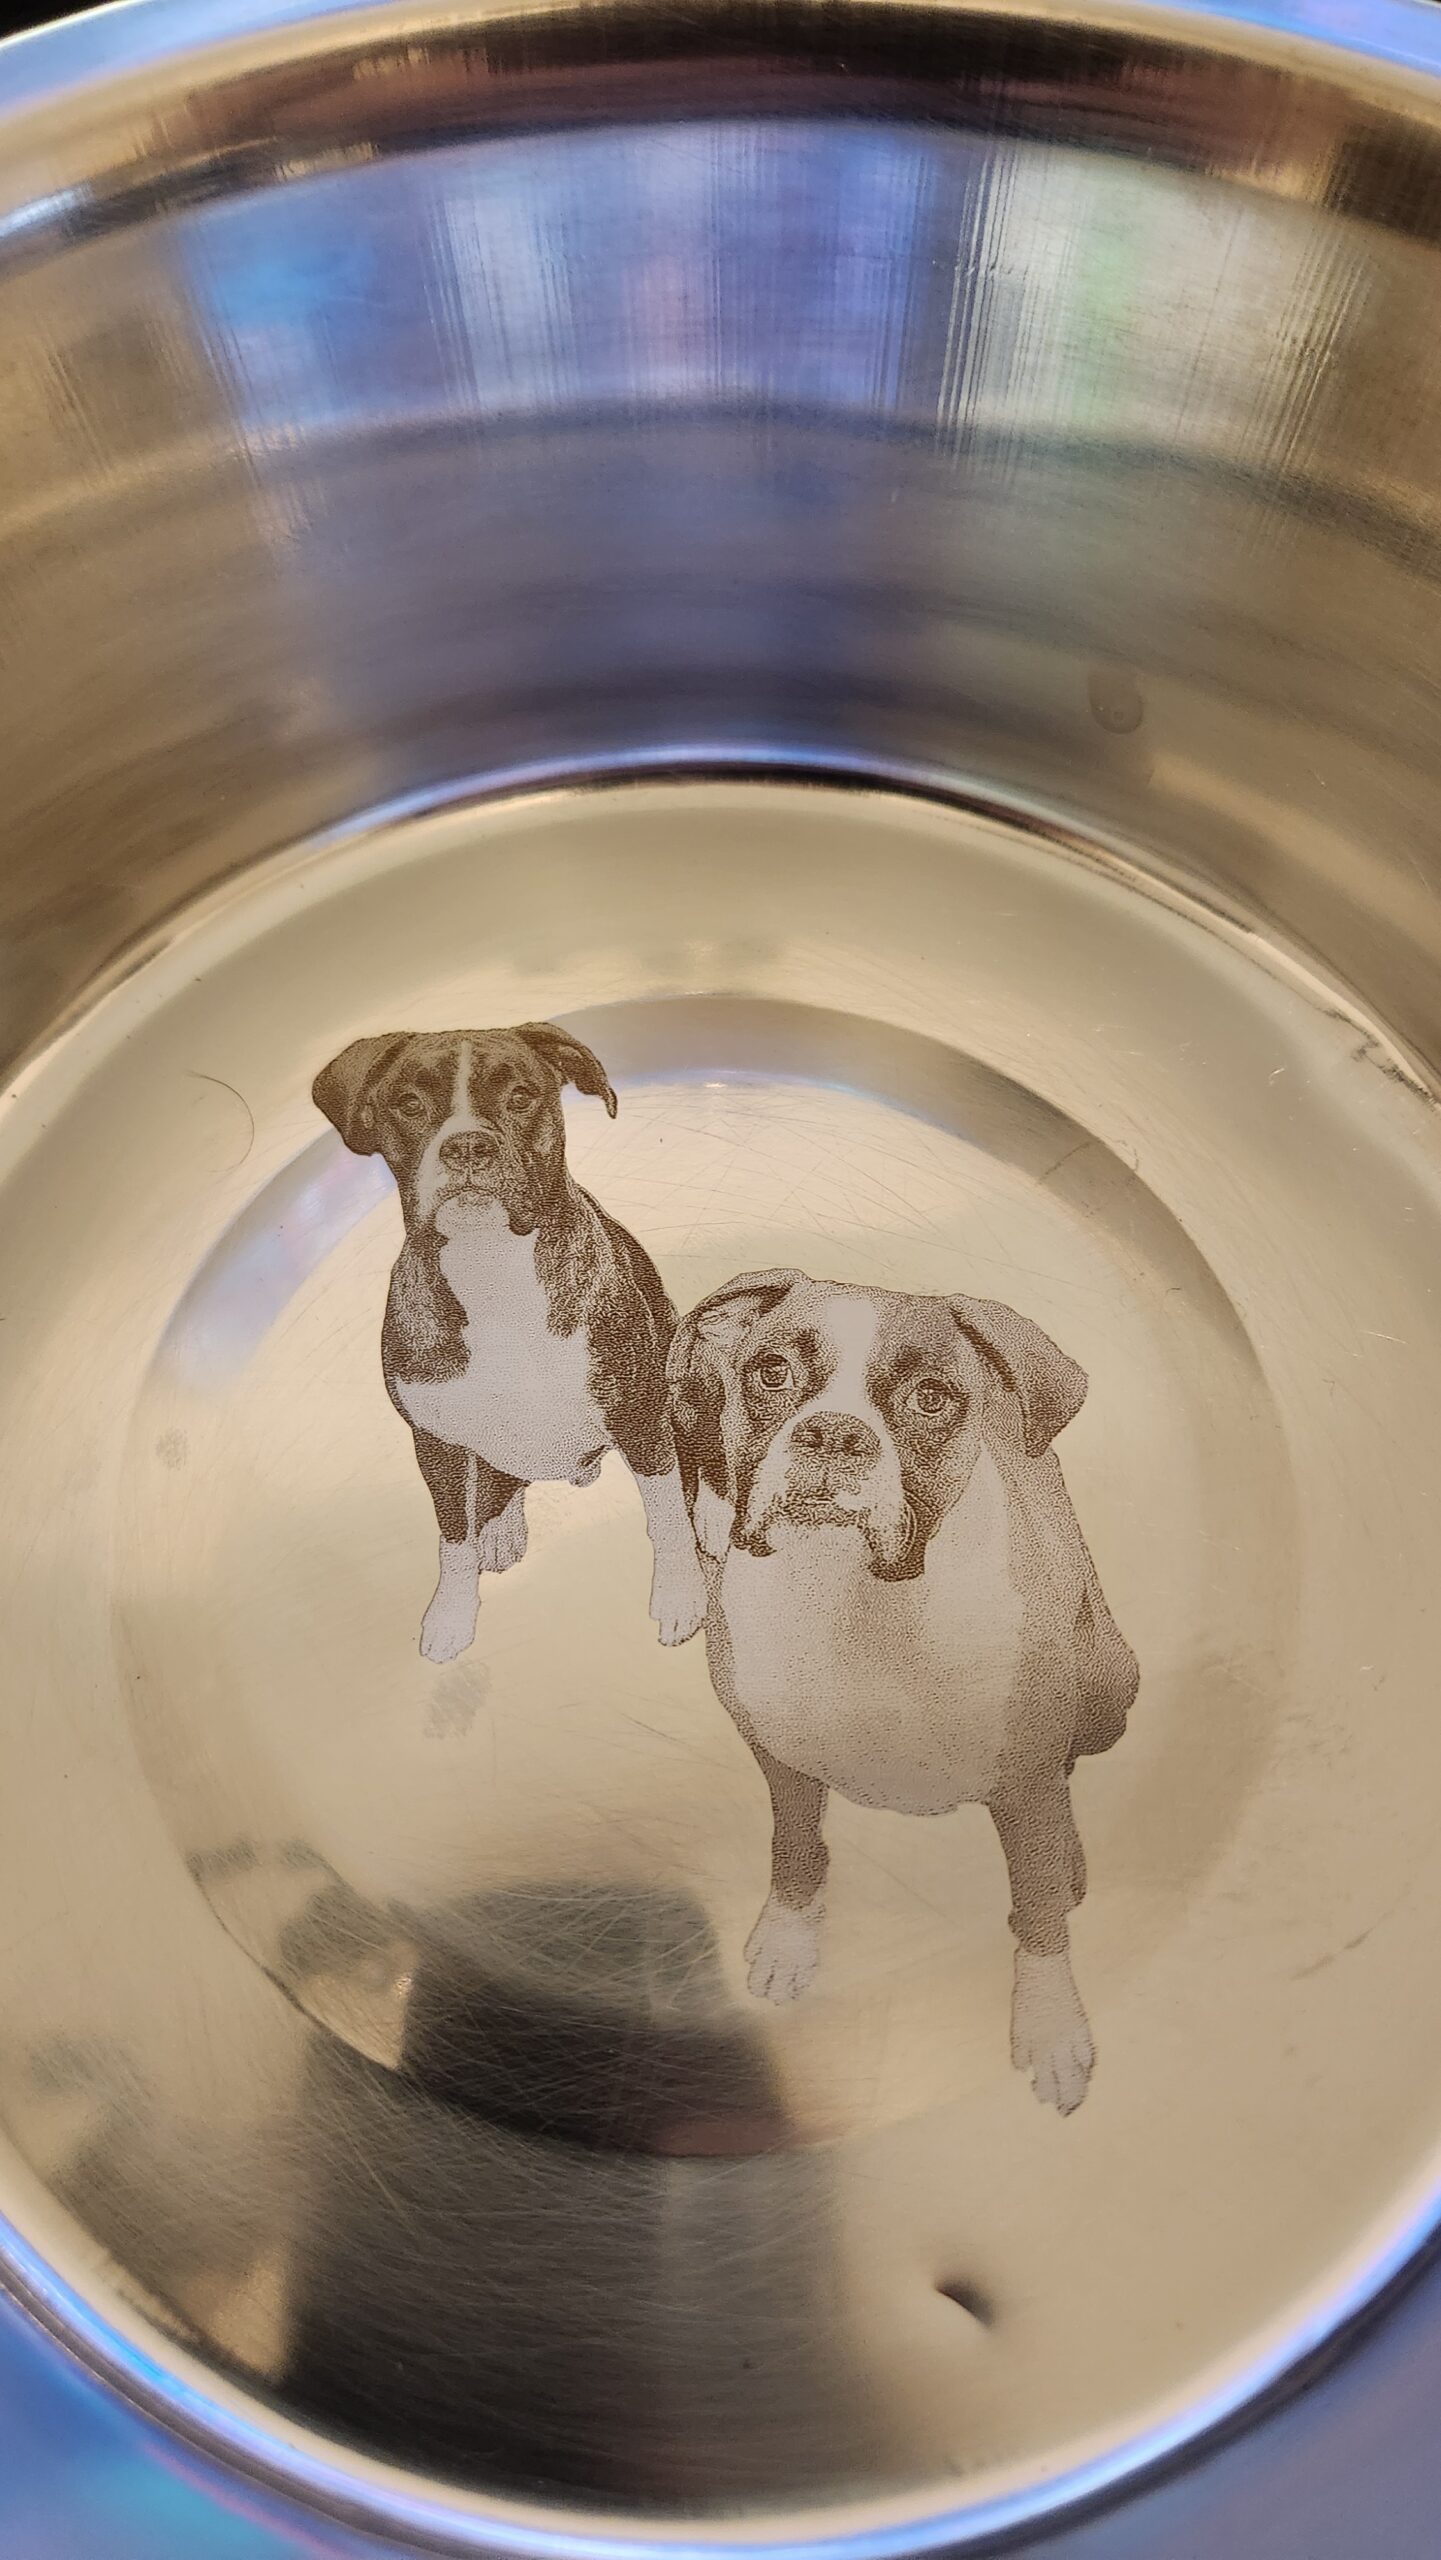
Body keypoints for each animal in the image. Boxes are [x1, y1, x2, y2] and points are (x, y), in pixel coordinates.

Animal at [316, 1029, 706, 1669]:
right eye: (408, 1103)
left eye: (521, 1096)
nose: (468, 1147)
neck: (493, 1267)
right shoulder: (437, 1445)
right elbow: (453, 1539)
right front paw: (451, 1617)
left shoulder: (639, 1415)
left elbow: (667, 1511)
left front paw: (681, 1593)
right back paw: (499, 1528)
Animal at [675, 1264, 1141, 2119]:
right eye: (771, 1372)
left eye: (930, 1397)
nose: (833, 1434)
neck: (852, 1598)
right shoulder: (778, 1756)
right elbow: (794, 1847)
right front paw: (788, 1940)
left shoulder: (1023, 1783)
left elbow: (1037, 1909)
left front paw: (1050, 2026)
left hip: (1108, 1686)